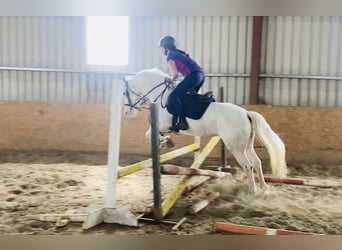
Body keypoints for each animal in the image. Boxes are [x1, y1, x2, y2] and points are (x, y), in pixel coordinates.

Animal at [121, 68, 288, 193]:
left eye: (123, 93)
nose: (128, 112)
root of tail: (246, 113)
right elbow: (154, 135)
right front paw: (165, 142)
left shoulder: (162, 124)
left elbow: (149, 134)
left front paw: (164, 142)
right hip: (246, 145)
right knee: (257, 162)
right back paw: (263, 188)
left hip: (236, 147)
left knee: (248, 166)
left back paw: (252, 191)